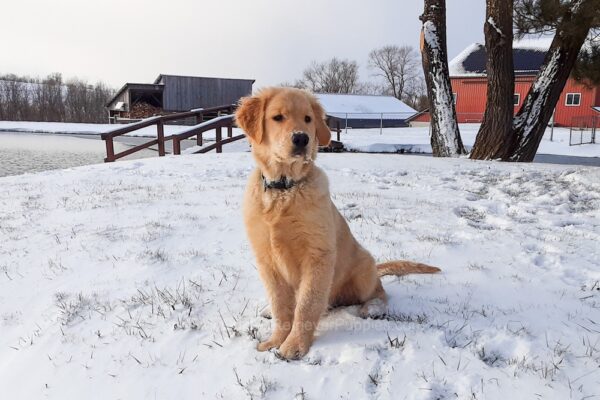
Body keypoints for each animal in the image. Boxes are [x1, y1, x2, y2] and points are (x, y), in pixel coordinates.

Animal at [236, 86, 440, 360]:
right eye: (278, 117)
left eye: (308, 119)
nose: (301, 139)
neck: (284, 188)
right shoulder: (267, 259)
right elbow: (281, 304)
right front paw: (275, 340)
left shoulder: (318, 255)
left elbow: (307, 304)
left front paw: (294, 345)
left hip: (364, 268)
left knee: (379, 291)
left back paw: (373, 307)